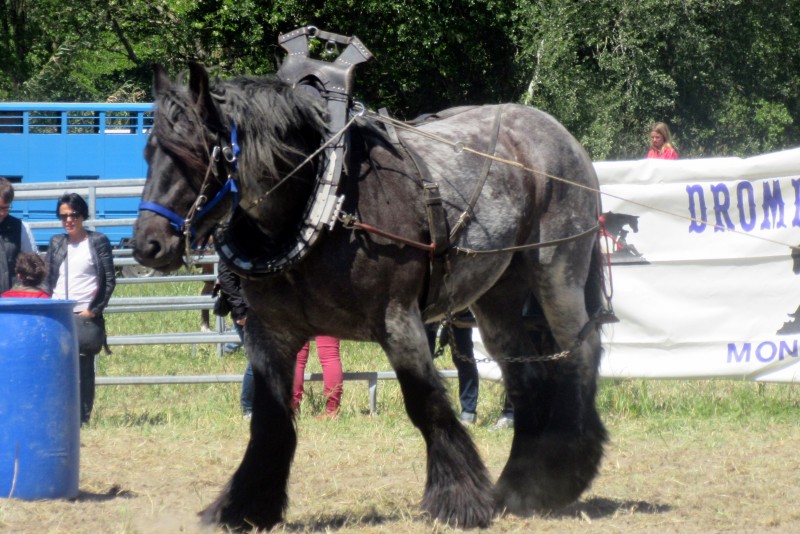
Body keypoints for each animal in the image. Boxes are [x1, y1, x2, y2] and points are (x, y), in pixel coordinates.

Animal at [132, 62, 608, 531]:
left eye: (194, 153)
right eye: (150, 154)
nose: (146, 245)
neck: (321, 207)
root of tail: (558, 133)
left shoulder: (398, 321)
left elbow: (425, 402)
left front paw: (458, 500)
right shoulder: (271, 334)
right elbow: (271, 421)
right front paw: (245, 507)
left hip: (556, 270)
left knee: (580, 354)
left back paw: (565, 470)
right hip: (498, 295)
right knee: (525, 375)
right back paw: (521, 485)